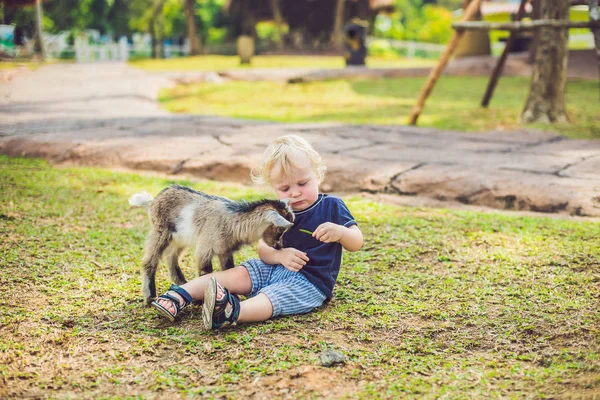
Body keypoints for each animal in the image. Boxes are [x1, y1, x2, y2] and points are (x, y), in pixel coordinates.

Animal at [130, 184, 294, 304]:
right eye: (280, 229)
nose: (279, 246)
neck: (232, 220)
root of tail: (153, 200)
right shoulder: (206, 248)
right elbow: (206, 272)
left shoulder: (225, 251)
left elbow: (228, 270)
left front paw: (233, 297)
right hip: (161, 231)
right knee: (150, 261)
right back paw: (150, 296)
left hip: (180, 238)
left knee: (171, 257)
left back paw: (182, 284)